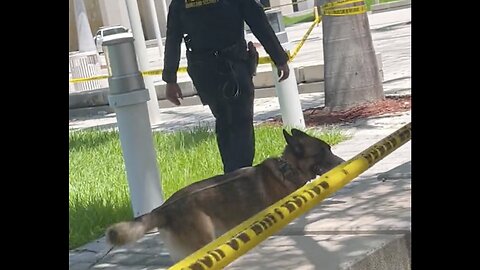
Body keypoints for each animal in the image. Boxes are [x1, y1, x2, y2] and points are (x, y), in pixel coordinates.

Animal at [107, 129, 344, 262]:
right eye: (323, 152)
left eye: (329, 148)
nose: (343, 162)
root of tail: (163, 209)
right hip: (202, 241)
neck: (288, 168)